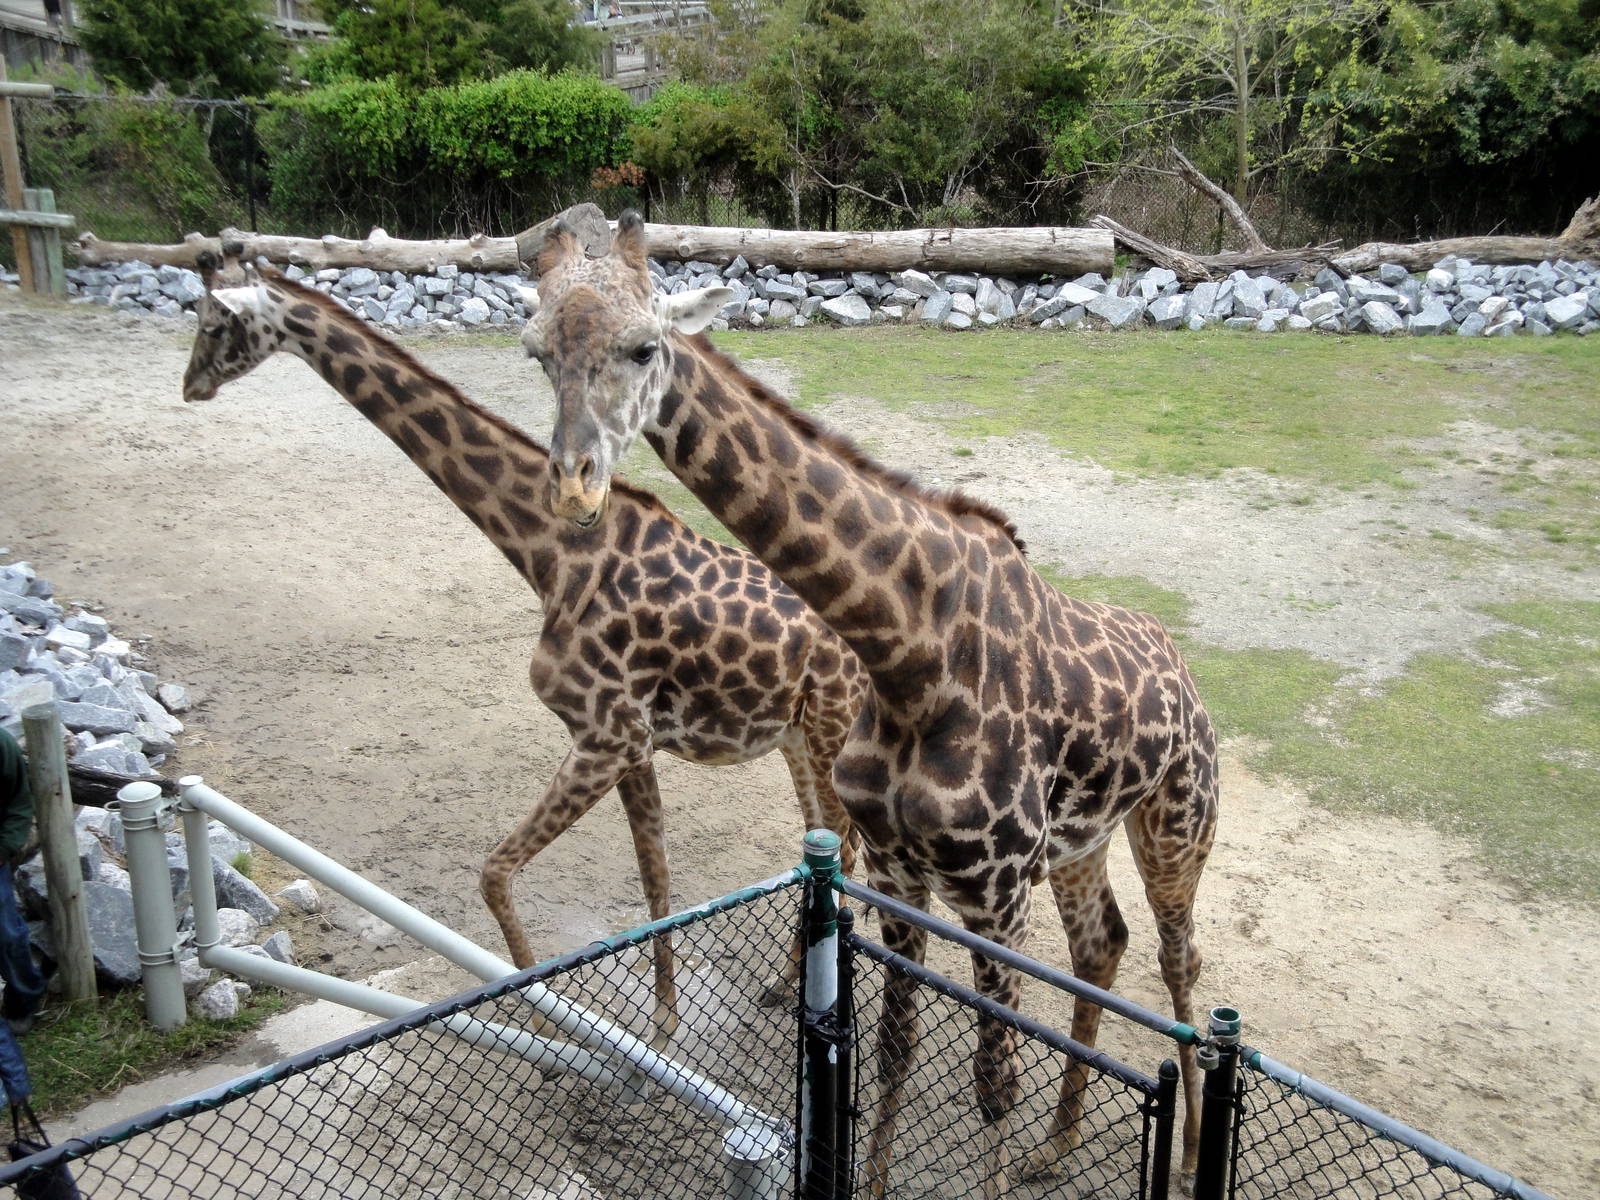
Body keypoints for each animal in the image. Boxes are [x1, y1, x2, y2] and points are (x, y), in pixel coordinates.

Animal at [180, 247, 867, 1046]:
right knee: (824, 840)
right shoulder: (632, 743)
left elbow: (494, 870)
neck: (548, 557)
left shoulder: (605, 735)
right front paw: (662, 1026)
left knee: (848, 843)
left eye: (214, 321)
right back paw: (784, 983)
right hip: (795, 738)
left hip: (828, 731)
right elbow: (655, 880)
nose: (192, 384)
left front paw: (552, 1023)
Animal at [522, 212, 1220, 1194]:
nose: (574, 486)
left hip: (1177, 823)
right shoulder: (897, 873)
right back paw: (1056, 1147)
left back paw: (1190, 1152)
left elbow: (990, 1083)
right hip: (1083, 840)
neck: (906, 655)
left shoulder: (996, 894)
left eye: (643, 345)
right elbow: (893, 1047)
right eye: (538, 350)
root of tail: (1185, 674)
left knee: (1178, 955)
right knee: (1102, 945)